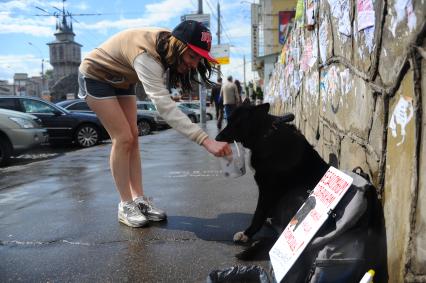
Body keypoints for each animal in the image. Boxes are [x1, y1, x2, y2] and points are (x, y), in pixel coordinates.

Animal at [216, 103, 330, 260]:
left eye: (236, 122)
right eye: (229, 120)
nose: (216, 137)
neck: (265, 135)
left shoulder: (267, 189)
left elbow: (258, 214)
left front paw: (247, 234)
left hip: (295, 195)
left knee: (282, 237)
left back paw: (254, 249)